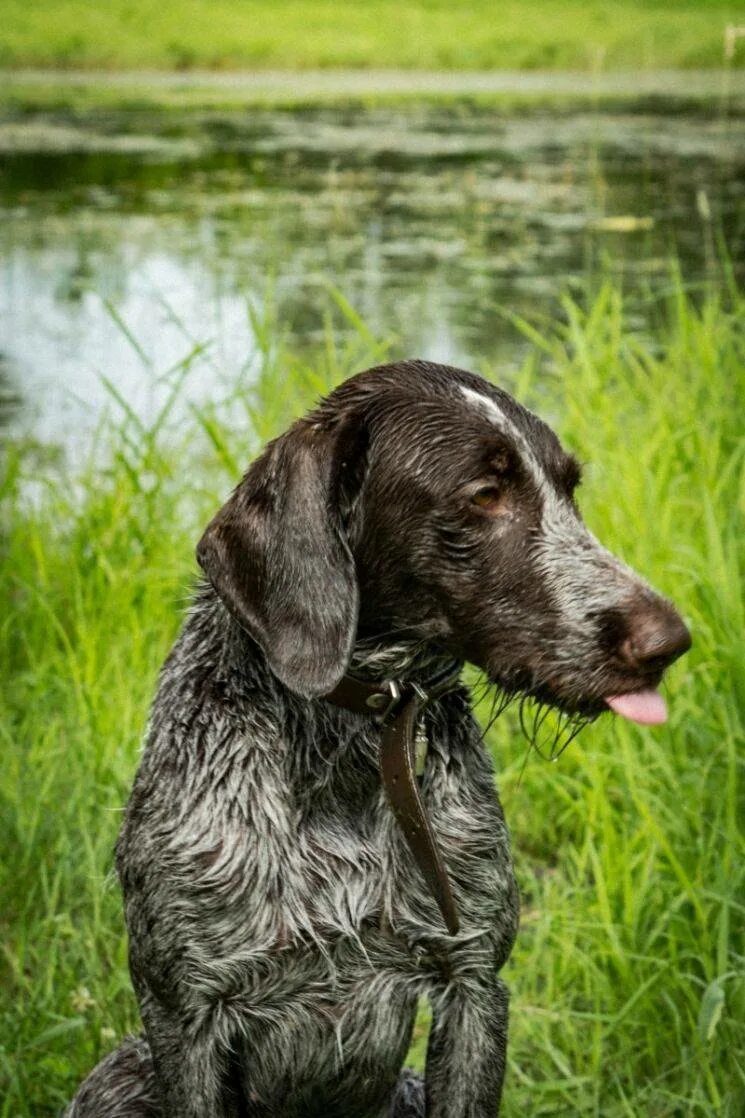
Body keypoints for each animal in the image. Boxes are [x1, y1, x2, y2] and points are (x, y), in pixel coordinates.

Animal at [66, 362, 689, 1113]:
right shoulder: (185, 1014)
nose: (669, 642)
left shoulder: (473, 985)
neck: (350, 749)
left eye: (568, 489)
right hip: (118, 1077)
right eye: (485, 495)